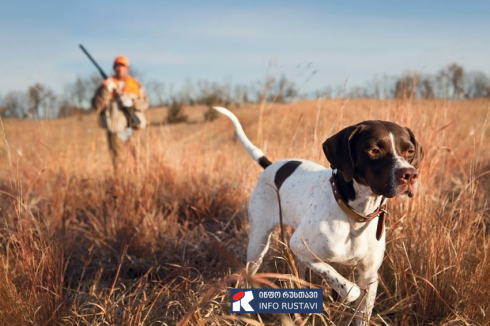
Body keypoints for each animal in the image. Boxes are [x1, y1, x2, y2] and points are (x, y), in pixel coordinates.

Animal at [212, 106, 424, 324]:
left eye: (410, 151)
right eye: (374, 150)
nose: (410, 175)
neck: (355, 214)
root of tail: (270, 166)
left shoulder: (369, 275)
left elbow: (361, 310)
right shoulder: (299, 246)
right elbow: (349, 289)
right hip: (258, 243)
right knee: (250, 273)